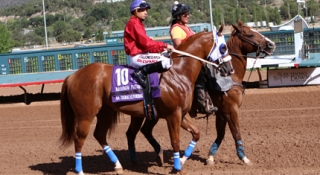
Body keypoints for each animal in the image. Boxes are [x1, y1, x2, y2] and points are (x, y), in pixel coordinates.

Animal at [59, 25, 230, 174]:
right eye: (223, 47)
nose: (229, 69)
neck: (178, 72)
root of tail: (72, 76)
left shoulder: (181, 114)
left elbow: (196, 134)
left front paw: (180, 162)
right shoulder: (173, 115)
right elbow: (175, 141)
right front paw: (177, 168)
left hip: (106, 112)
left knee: (100, 135)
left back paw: (118, 165)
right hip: (85, 115)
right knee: (79, 139)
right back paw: (80, 171)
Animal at [124, 19, 276, 166]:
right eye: (250, 34)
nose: (271, 44)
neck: (230, 78)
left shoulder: (221, 112)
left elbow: (221, 134)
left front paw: (210, 156)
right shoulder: (231, 110)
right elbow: (236, 133)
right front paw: (244, 158)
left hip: (149, 114)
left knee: (139, 132)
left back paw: (154, 156)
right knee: (136, 132)